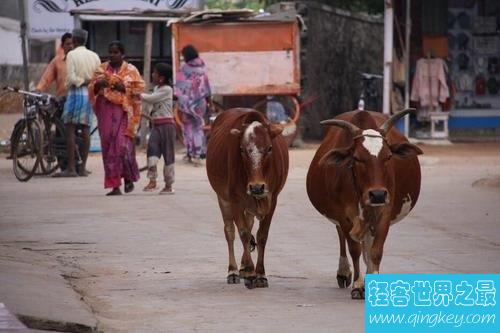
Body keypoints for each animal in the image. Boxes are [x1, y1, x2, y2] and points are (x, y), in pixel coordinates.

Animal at [206, 107, 290, 286]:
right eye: (242, 150)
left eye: (269, 148)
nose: (257, 187)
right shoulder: (235, 200)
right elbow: (243, 233)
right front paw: (251, 272)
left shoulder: (272, 200)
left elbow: (262, 235)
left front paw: (260, 274)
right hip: (223, 199)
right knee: (230, 231)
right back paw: (233, 270)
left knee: (250, 225)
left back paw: (244, 266)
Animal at [304, 109, 422, 298]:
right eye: (357, 158)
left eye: (388, 156)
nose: (378, 194)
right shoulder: (343, 216)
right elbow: (354, 249)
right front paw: (358, 285)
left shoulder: (384, 212)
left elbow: (375, 251)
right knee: (342, 237)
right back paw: (344, 272)